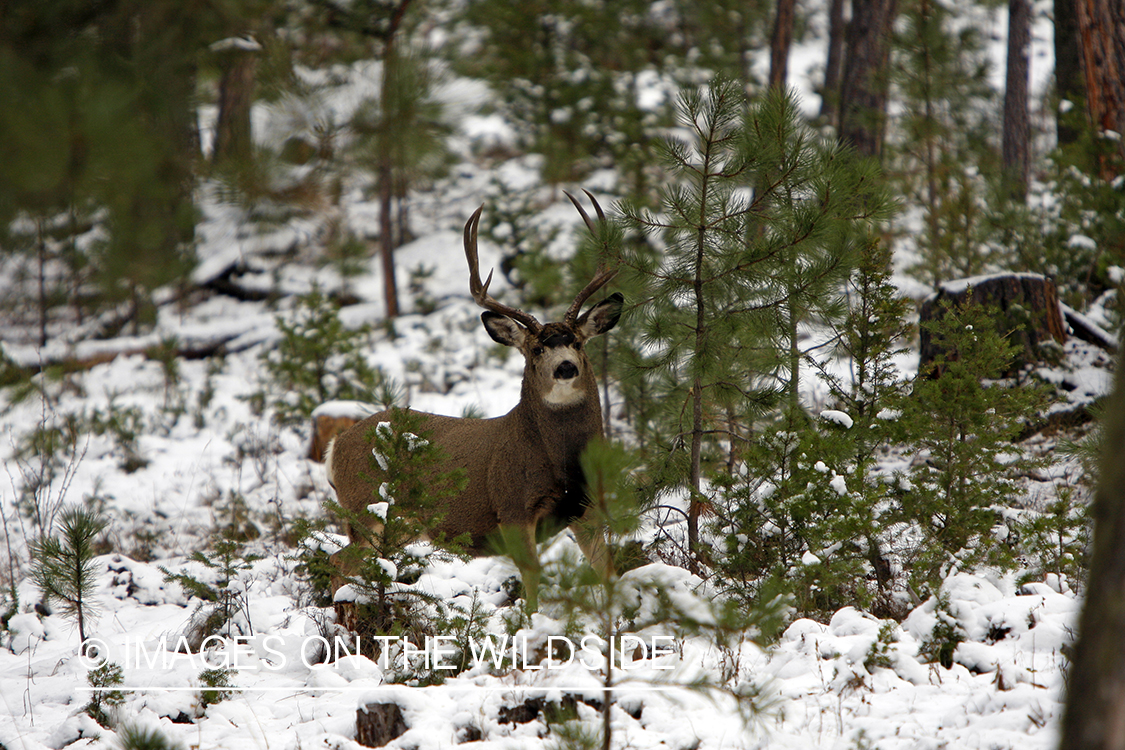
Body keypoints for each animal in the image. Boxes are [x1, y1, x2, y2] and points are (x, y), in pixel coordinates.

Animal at [324, 191, 623, 612]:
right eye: (535, 349)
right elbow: (532, 582)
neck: (559, 461)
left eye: (578, 342)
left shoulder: (587, 510)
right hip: (365, 509)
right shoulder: (511, 506)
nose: (565, 367)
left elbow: (608, 571)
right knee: (339, 562)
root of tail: (335, 445)